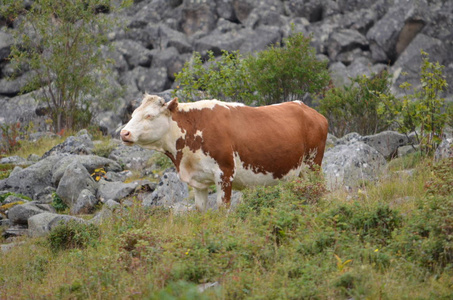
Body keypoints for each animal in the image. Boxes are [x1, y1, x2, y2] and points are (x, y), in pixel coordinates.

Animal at [118, 94, 326, 211]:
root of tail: (308, 109)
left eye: (149, 115)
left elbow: (222, 209)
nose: (124, 133)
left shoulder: (224, 174)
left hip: (313, 165)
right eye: (133, 114)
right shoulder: (199, 182)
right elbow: (200, 210)